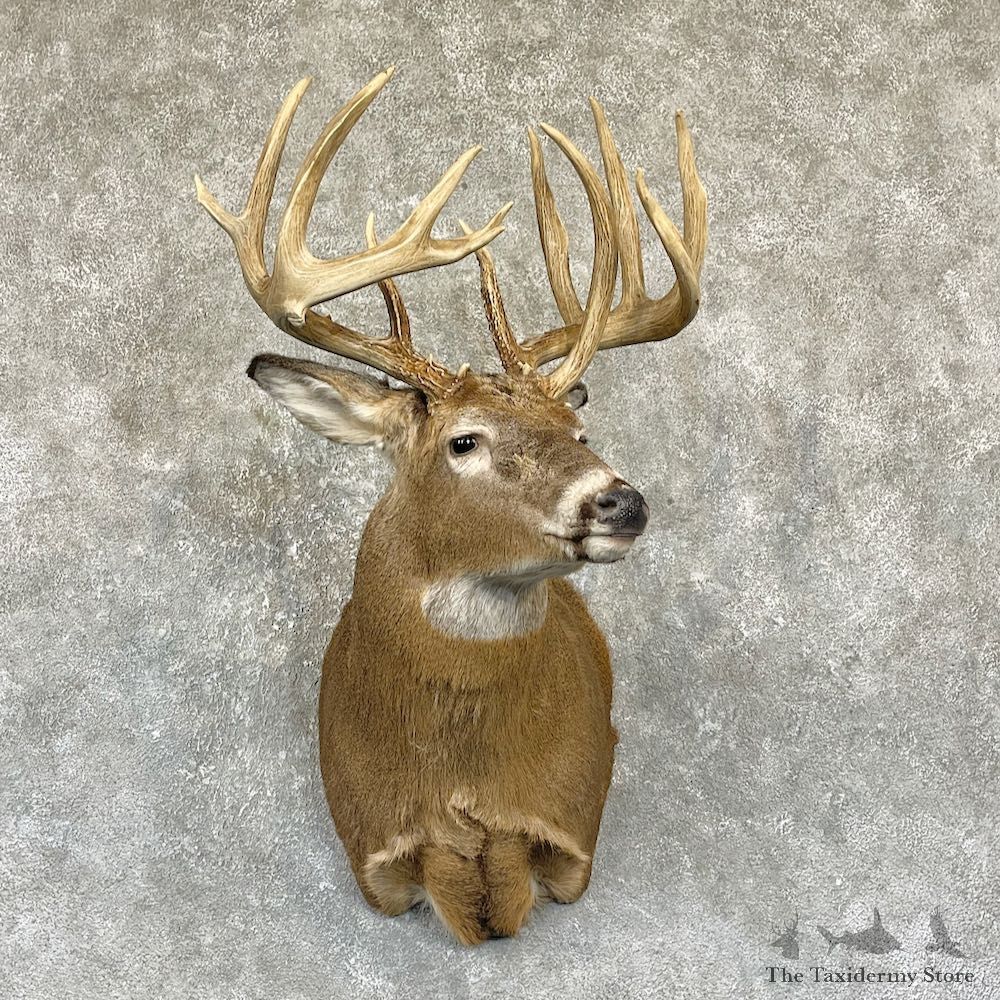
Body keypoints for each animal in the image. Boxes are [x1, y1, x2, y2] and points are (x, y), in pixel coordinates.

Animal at [194, 67, 707, 945]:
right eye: (464, 441)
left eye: (579, 429)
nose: (621, 500)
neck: (463, 786)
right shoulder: (374, 846)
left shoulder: (571, 829)